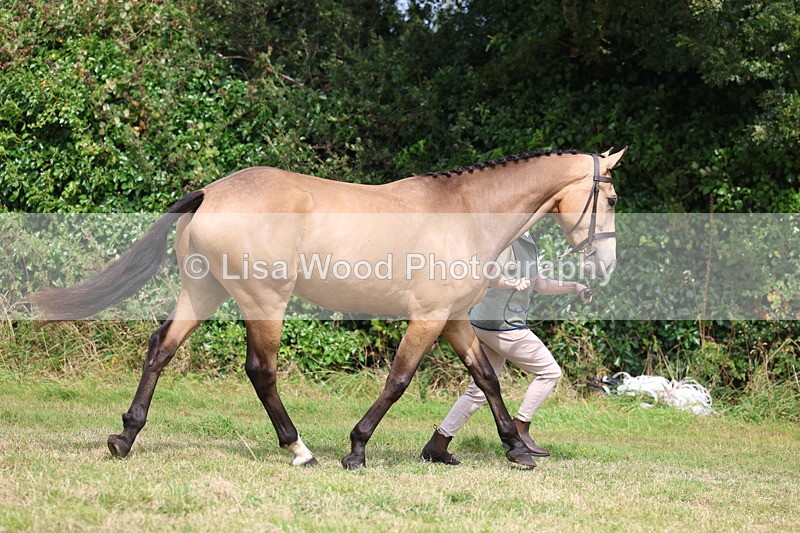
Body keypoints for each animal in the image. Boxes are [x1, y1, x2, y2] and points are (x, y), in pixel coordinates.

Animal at [29, 147, 626, 469]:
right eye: (614, 198)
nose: (605, 266)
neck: (464, 213)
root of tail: (212, 192)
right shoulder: (427, 319)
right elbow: (398, 381)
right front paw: (356, 449)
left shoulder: (453, 320)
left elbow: (487, 380)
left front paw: (516, 449)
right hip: (263, 300)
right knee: (261, 370)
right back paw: (299, 449)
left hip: (204, 292)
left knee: (160, 350)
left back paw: (125, 437)